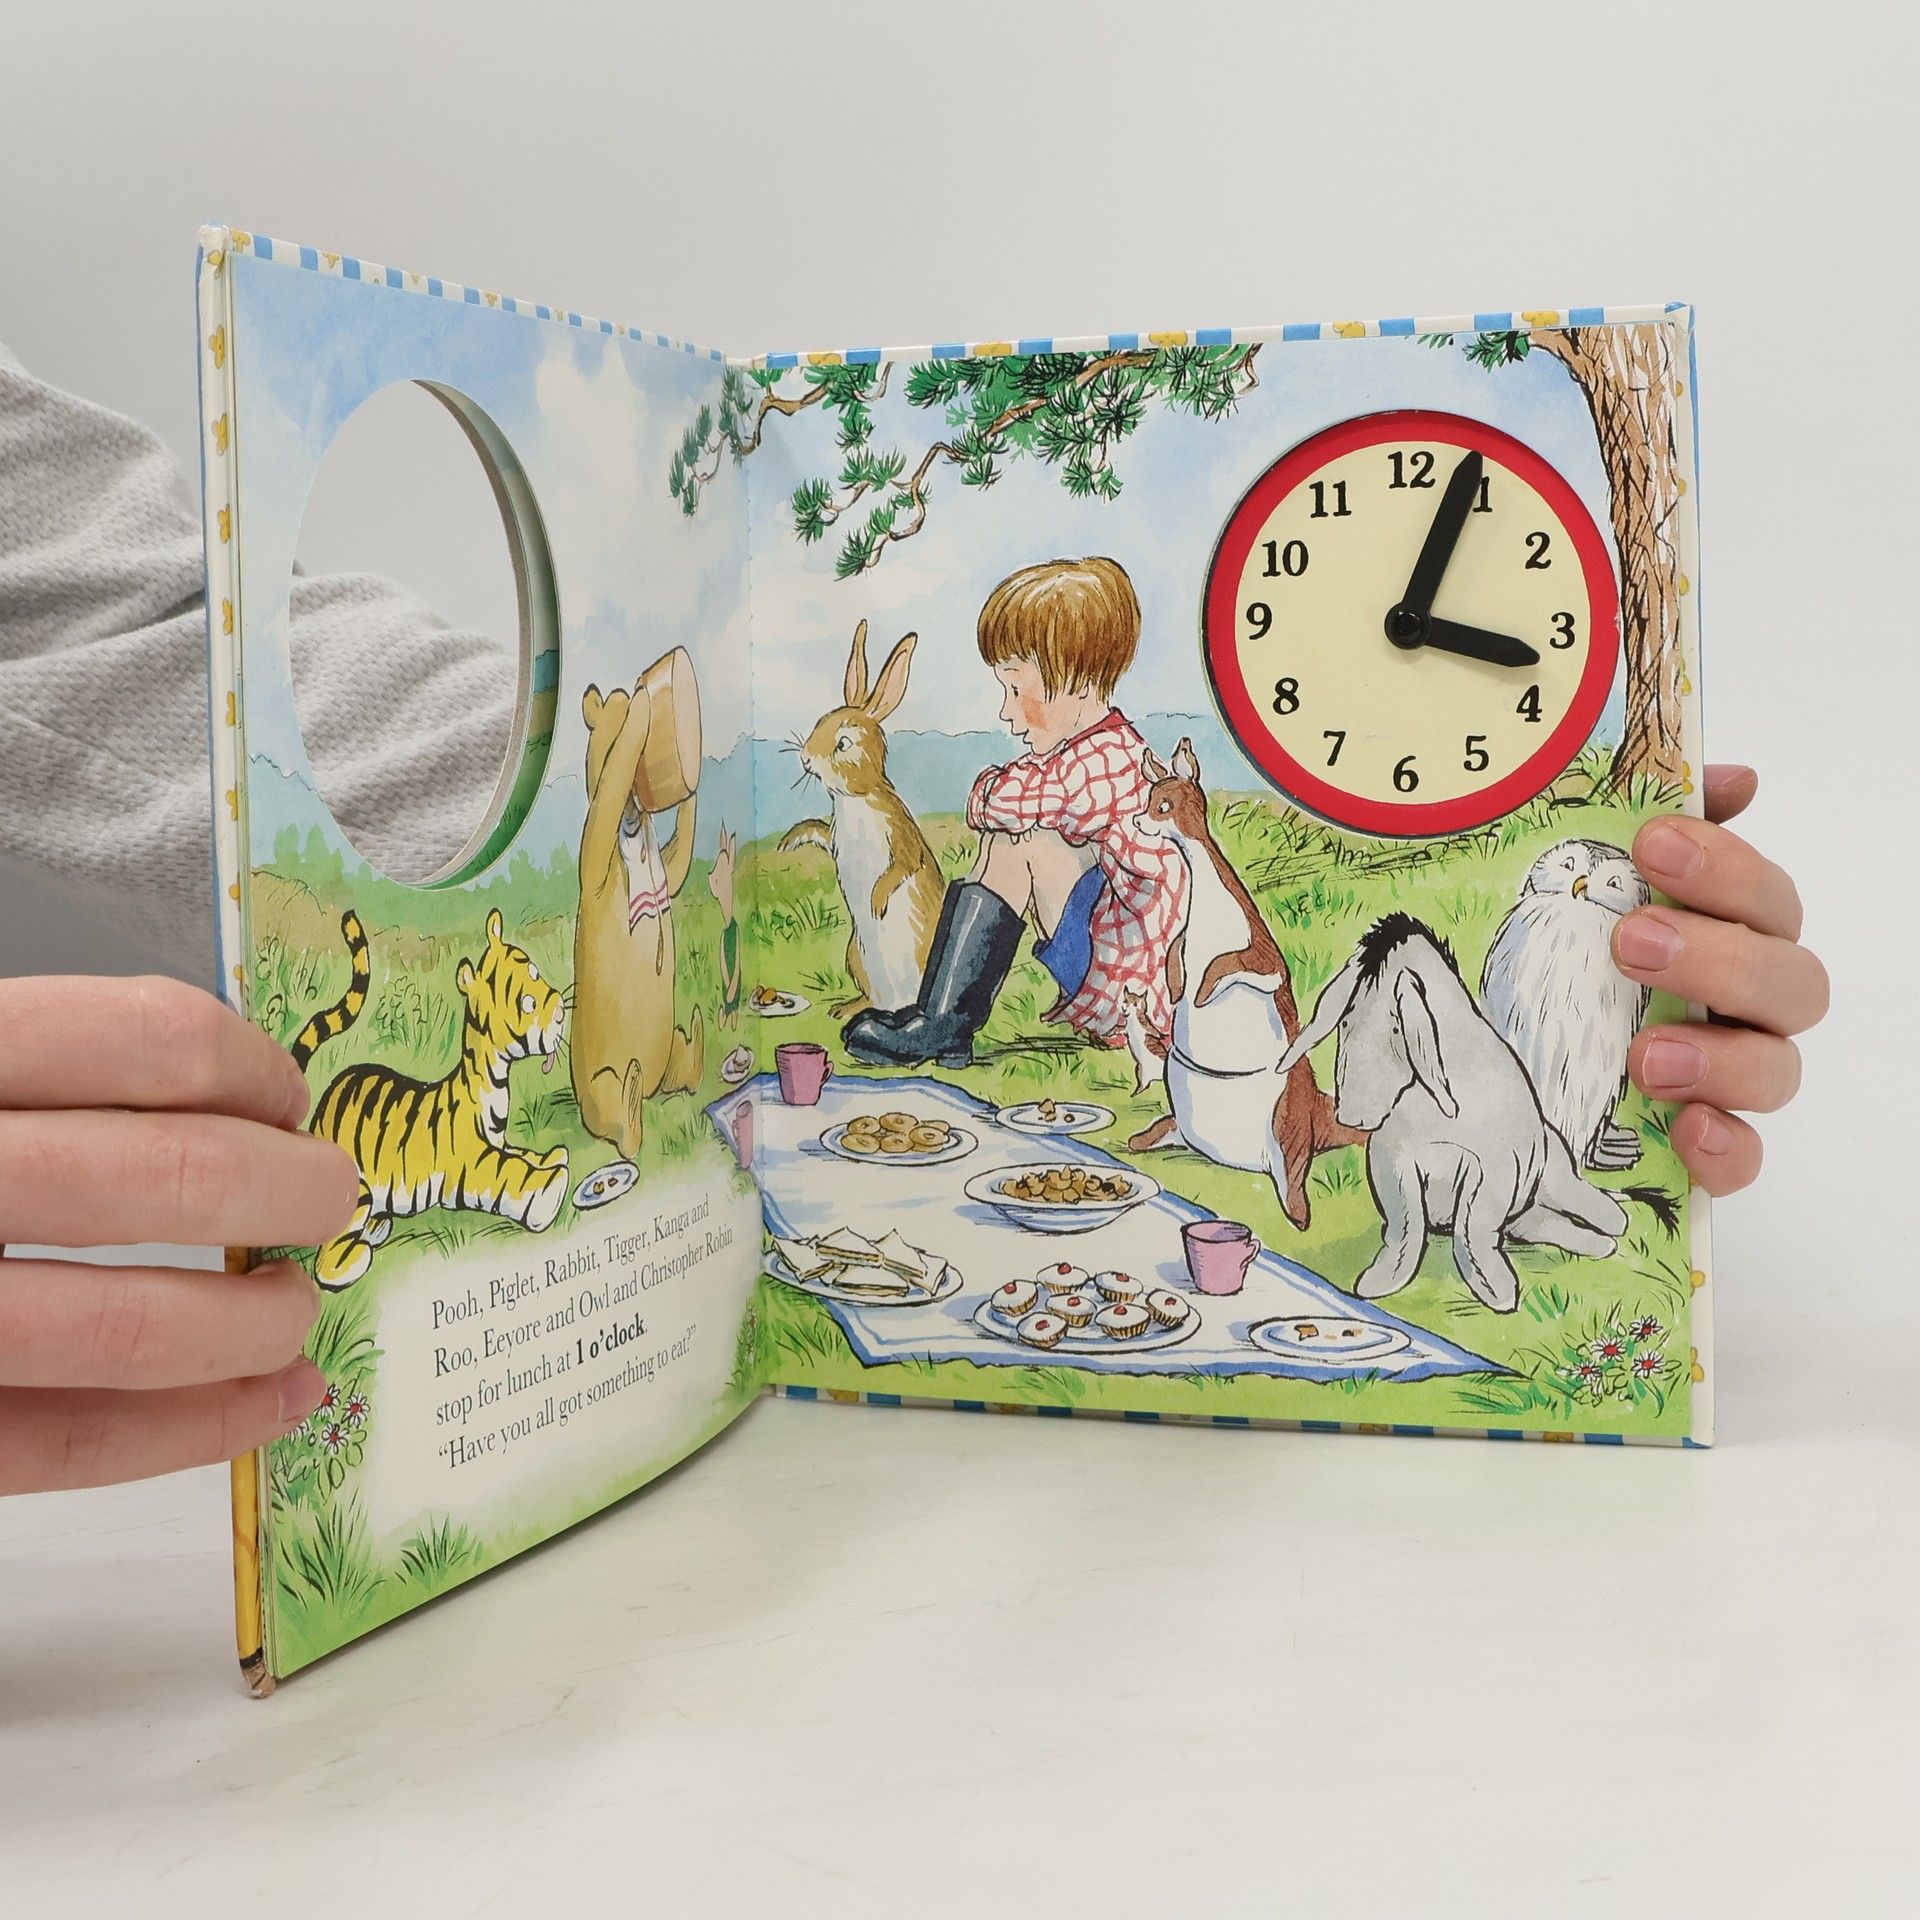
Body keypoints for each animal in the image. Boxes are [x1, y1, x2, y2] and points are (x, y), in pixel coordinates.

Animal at [778, 621, 943, 1016]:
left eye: (843, 744)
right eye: (819, 721)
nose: (806, 758)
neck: (856, 798)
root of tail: (896, 1004)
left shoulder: (899, 833)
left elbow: (905, 863)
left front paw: (877, 900)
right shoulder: (835, 837)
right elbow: (819, 831)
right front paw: (791, 839)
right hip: (856, 955)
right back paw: (847, 1009)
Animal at [1275, 912, 1637, 1313]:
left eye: (1397, 1026)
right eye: (1345, 1020)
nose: (1351, 1115)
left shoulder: (1493, 1172)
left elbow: (1473, 1229)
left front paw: (1496, 1291)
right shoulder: (1392, 1165)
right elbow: (1404, 1225)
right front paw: (1380, 1282)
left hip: (1556, 1176)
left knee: (1591, 1207)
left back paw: (1612, 1224)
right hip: (1529, 1214)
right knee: (1543, 1225)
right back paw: (1598, 1244)